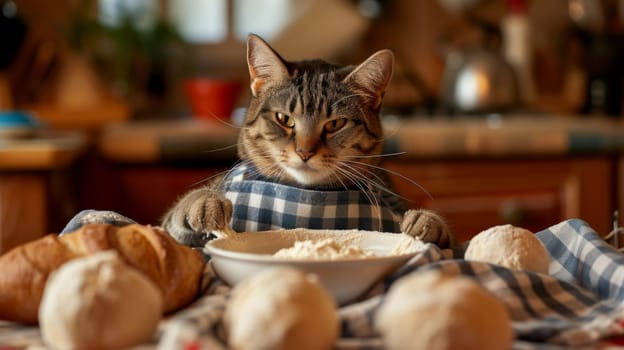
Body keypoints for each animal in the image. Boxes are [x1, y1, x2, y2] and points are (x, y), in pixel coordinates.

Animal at [161, 34, 454, 249]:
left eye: (335, 124)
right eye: (284, 119)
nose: (304, 152)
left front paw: (427, 222)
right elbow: (178, 215)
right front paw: (205, 203)